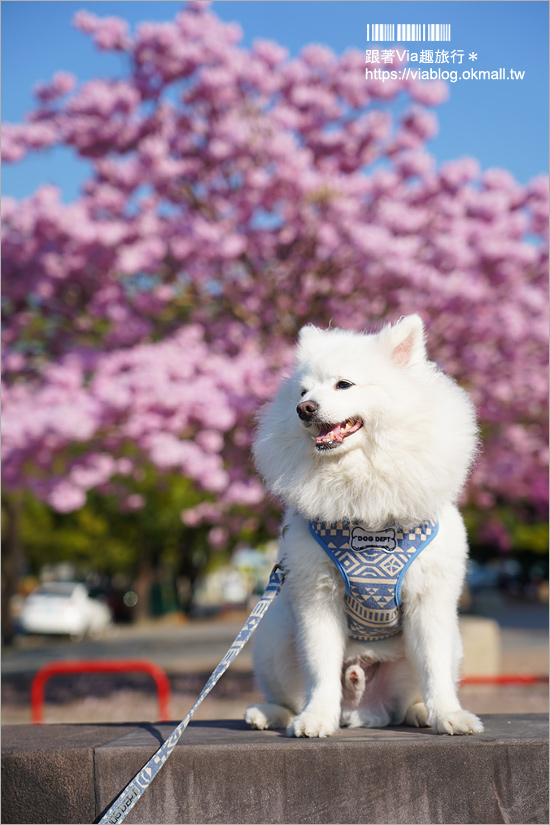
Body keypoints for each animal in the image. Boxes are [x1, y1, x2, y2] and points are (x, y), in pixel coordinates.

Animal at [246, 314, 484, 732]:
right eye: (302, 391)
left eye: (344, 384)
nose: (304, 408)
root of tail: (362, 709)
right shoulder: (317, 596)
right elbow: (320, 669)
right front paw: (317, 718)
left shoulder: (430, 601)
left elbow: (435, 670)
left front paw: (449, 715)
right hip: (273, 636)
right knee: (288, 697)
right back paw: (269, 713)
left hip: (442, 646)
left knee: (407, 699)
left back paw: (420, 713)